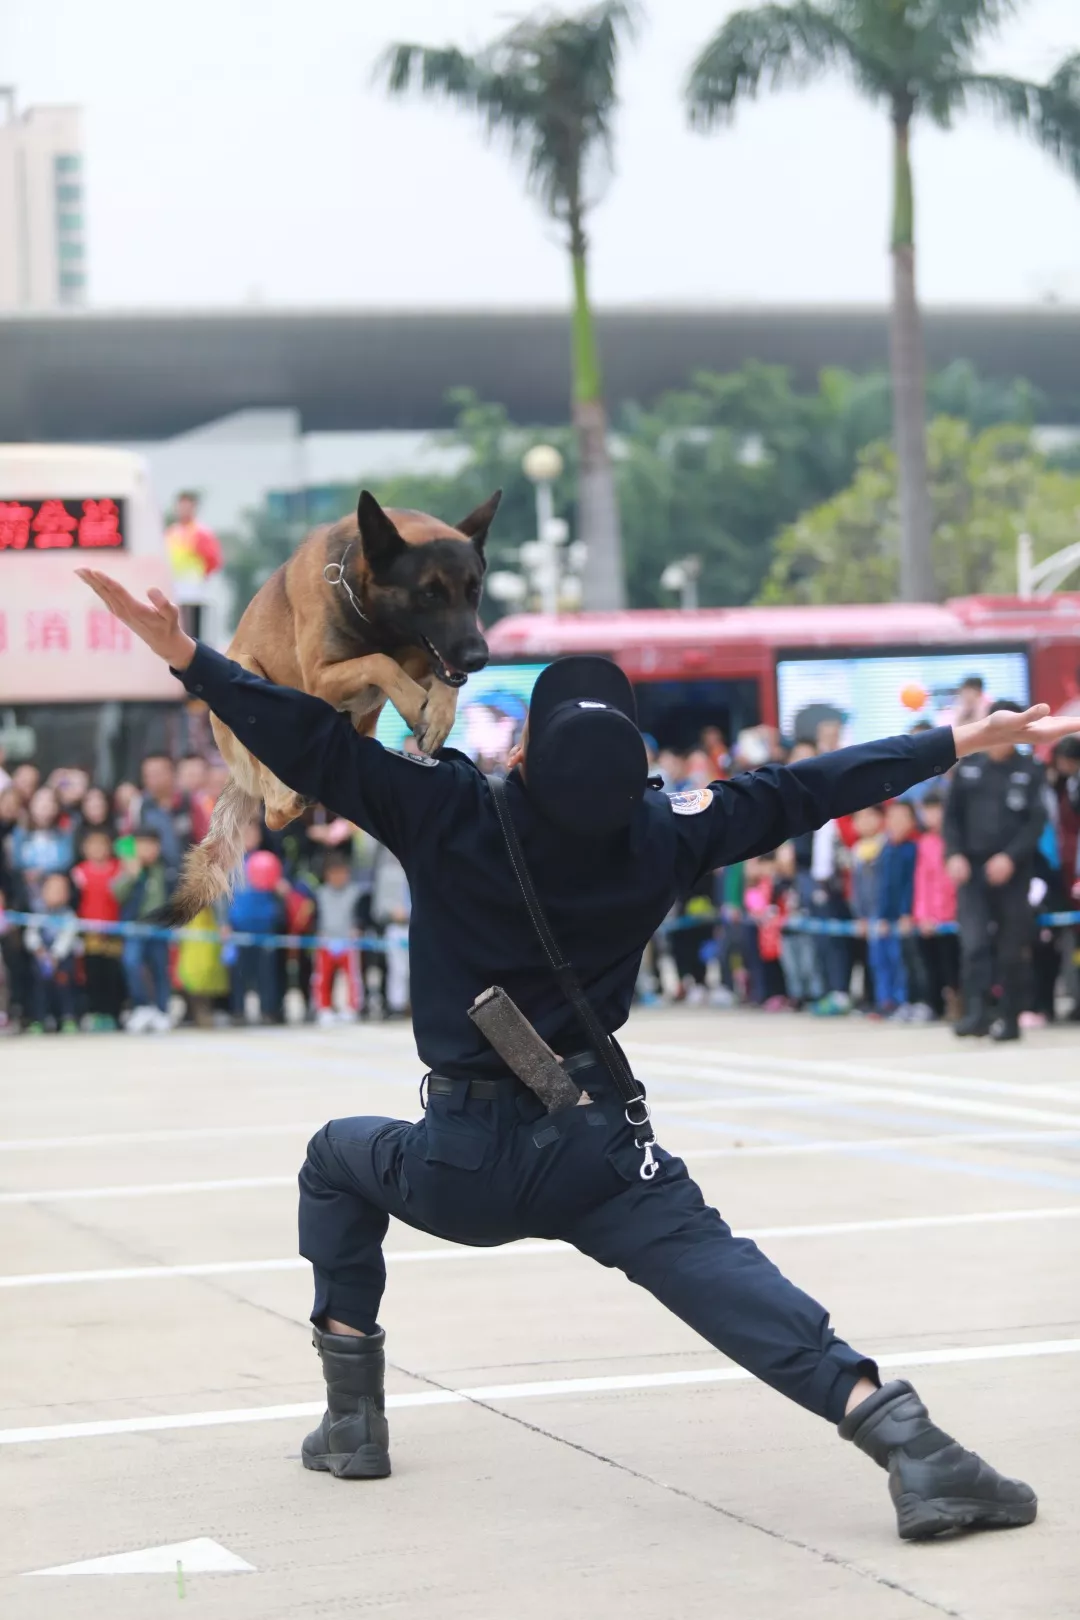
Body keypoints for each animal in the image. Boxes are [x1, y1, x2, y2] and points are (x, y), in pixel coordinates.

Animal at [168, 488, 500, 923]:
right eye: (430, 593)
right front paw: (417, 705)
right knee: (272, 807)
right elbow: (380, 663)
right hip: (244, 678)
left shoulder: (425, 655)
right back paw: (289, 796)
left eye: (474, 590)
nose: (479, 657)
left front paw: (439, 715)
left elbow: (428, 673)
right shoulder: (321, 678)